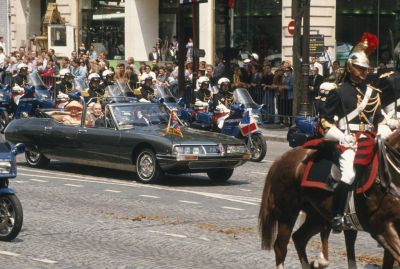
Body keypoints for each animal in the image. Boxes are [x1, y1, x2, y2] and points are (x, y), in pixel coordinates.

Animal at [260, 129, 400, 266]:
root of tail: (281, 158)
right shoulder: (381, 229)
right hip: (287, 214)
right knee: (281, 247)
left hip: (318, 217)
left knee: (299, 238)